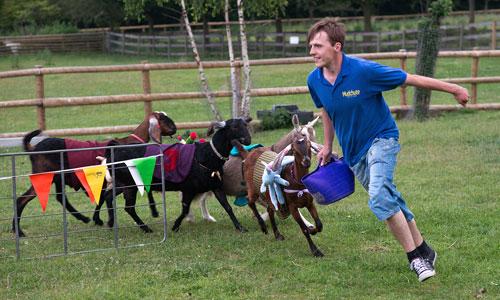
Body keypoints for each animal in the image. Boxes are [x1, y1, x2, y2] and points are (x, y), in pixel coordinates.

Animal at [12, 111, 177, 238]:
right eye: (164, 119)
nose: (175, 129)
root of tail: (33, 149)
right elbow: (107, 198)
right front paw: (153, 211)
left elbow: (103, 198)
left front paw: (98, 219)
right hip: (44, 175)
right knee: (23, 199)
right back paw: (19, 231)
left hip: (56, 177)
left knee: (57, 197)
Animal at [99, 117, 252, 232]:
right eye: (234, 127)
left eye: (245, 125)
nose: (248, 140)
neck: (207, 154)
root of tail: (115, 148)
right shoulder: (189, 188)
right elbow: (185, 209)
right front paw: (175, 226)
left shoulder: (215, 186)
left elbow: (227, 207)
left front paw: (240, 227)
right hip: (130, 184)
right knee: (128, 207)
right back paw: (145, 228)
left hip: (122, 183)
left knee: (109, 197)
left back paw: (109, 222)